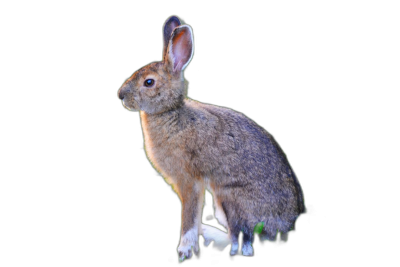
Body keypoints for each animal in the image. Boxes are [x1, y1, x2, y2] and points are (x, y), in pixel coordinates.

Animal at [118, 15, 306, 262]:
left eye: (149, 82)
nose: (120, 95)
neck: (171, 112)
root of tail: (289, 226)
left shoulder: (189, 181)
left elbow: (189, 217)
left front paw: (185, 250)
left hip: (231, 200)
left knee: (241, 243)